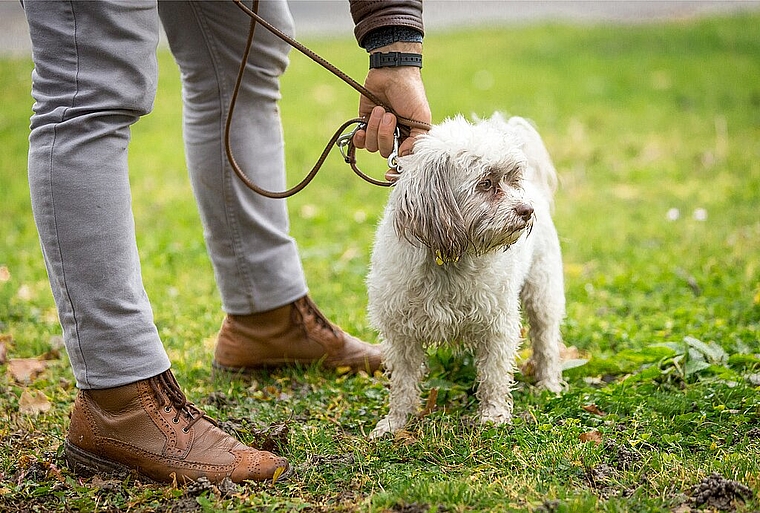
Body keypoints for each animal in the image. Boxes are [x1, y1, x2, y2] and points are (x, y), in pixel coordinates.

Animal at [368, 113, 564, 436]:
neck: (449, 260)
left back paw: (549, 384)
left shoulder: (497, 324)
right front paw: (395, 422)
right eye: (486, 183)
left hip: (542, 294)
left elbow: (494, 375)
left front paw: (494, 414)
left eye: (513, 180)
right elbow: (403, 383)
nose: (527, 210)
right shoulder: (400, 334)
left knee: (546, 342)